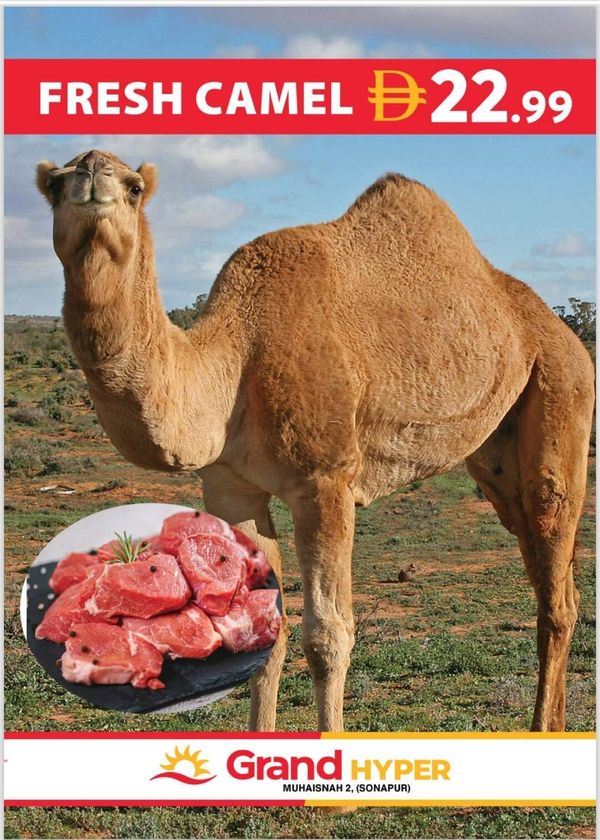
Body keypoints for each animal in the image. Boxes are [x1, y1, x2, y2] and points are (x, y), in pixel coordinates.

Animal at [36, 149, 594, 733]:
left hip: (562, 388)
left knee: (556, 574)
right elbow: (263, 630)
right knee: (548, 570)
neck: (237, 358)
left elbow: (328, 636)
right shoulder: (231, 488)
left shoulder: (326, 481)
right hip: (496, 457)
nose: (92, 173)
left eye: (134, 186)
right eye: (53, 186)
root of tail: (561, 331)